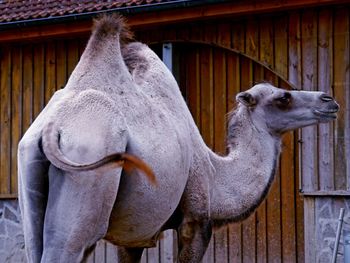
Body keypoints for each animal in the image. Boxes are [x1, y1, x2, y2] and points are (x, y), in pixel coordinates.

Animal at [18, 14, 340, 263]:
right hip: (88, 177)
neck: (215, 174)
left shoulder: (131, 238)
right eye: (283, 97)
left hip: (30, 180)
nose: (329, 101)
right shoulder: (196, 221)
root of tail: (53, 129)